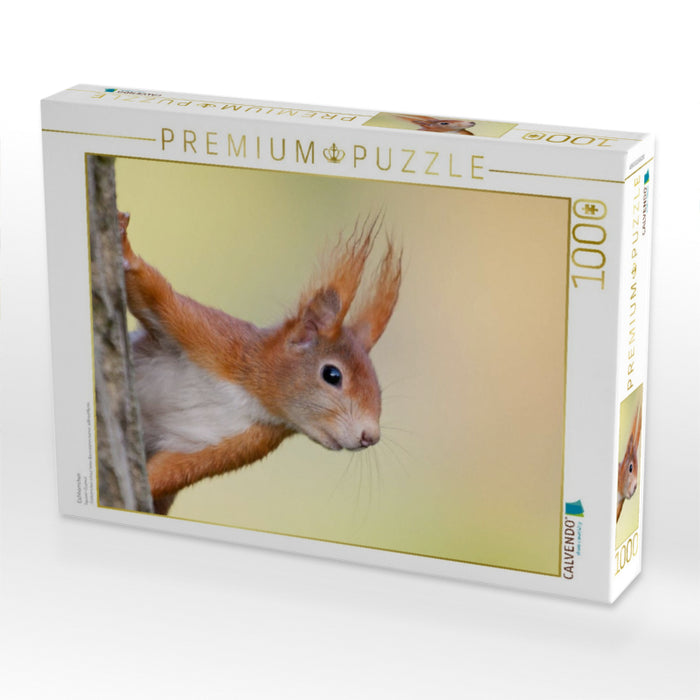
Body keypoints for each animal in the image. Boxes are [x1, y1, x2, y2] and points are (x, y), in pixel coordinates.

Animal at [118, 212, 402, 515]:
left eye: (378, 388)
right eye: (332, 375)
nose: (370, 436)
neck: (250, 394)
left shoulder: (237, 444)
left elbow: (168, 473)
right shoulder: (211, 338)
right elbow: (155, 296)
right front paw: (124, 245)